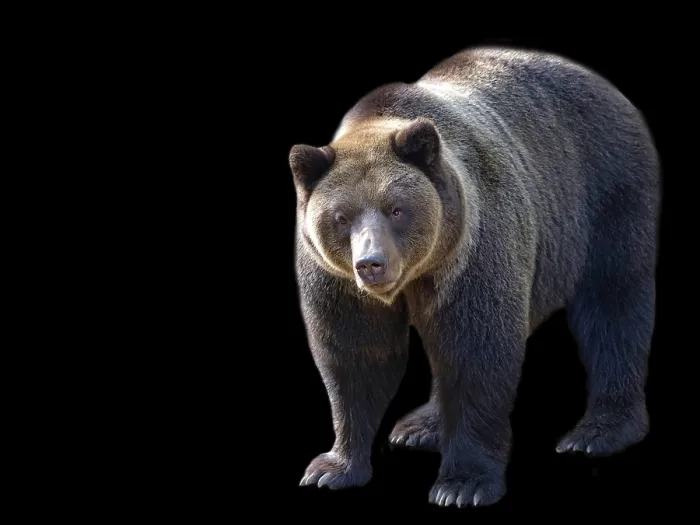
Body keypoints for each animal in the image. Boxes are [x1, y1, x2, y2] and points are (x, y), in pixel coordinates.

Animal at [290, 46, 660, 508]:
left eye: (396, 209)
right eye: (341, 218)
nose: (371, 263)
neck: (419, 272)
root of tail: (607, 87)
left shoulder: (473, 251)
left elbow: (476, 354)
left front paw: (462, 485)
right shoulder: (337, 284)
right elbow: (357, 355)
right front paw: (330, 468)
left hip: (607, 195)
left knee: (613, 305)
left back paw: (597, 432)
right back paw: (420, 426)